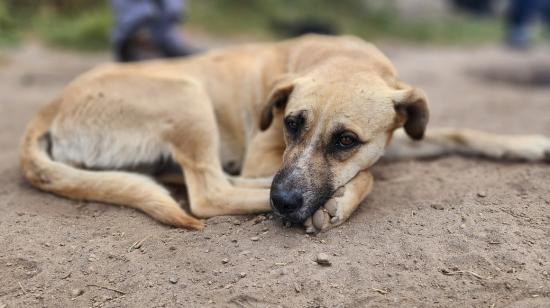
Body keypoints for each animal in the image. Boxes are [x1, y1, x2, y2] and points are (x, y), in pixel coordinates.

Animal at [17, 35, 550, 232]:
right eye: (292, 123)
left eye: (345, 140)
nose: (285, 200)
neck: (341, 57)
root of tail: (46, 109)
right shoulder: (266, 158)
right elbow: (370, 177)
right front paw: (340, 198)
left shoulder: (397, 133)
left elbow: (461, 132)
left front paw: (527, 144)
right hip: (188, 96)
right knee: (209, 193)